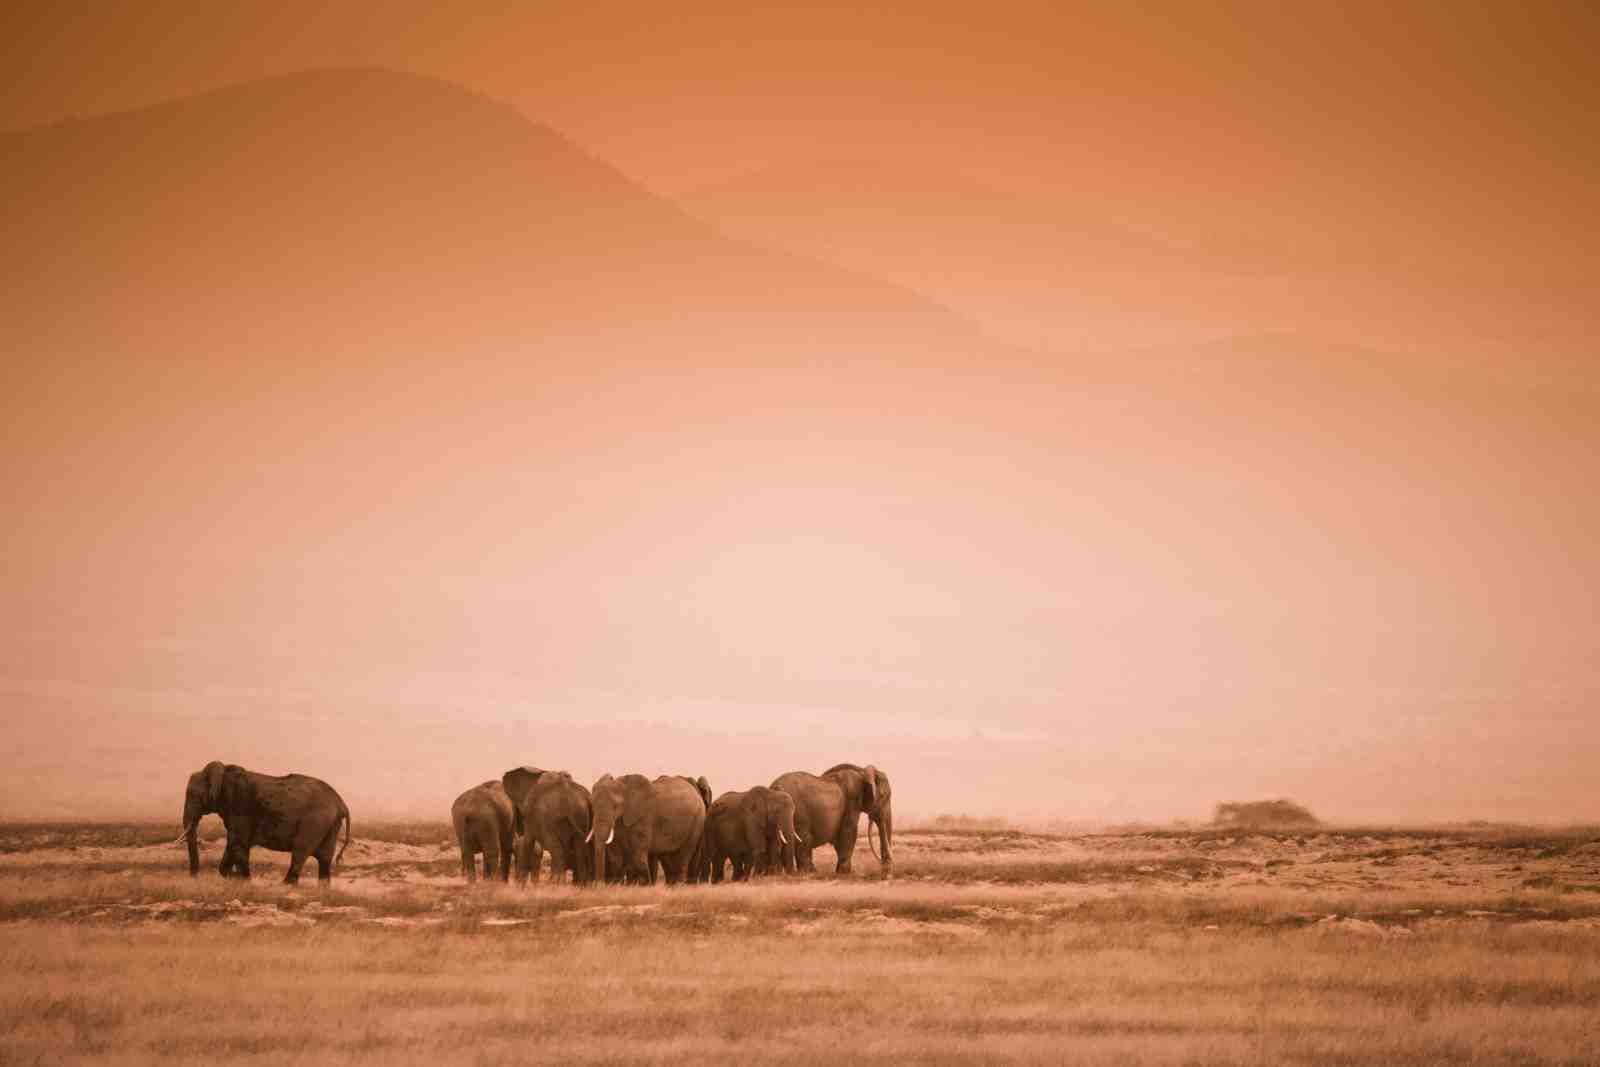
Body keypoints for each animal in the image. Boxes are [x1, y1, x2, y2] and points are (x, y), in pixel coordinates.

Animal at [180, 761, 350, 884]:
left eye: (192, 795)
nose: (195, 877)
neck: (222, 773)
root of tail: (341, 803)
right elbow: (233, 844)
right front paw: (231, 877)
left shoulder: (239, 805)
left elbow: (238, 843)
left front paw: (244, 881)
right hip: (330, 824)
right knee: (325, 859)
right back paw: (322, 889)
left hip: (315, 822)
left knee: (300, 852)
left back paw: (285, 885)